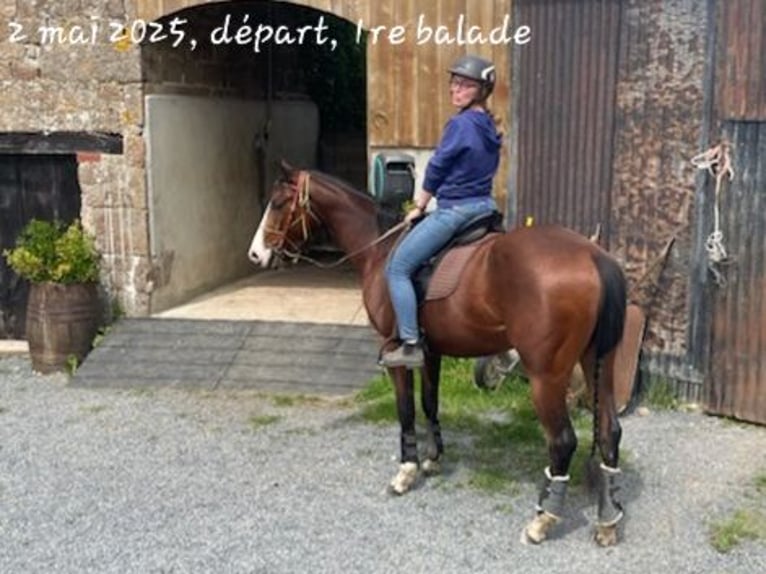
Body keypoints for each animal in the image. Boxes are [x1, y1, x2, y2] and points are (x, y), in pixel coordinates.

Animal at [248, 161, 627, 546]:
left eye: (278, 202)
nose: (255, 254)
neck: (381, 249)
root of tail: (592, 254)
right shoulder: (430, 352)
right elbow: (430, 403)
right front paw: (433, 458)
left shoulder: (395, 354)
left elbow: (405, 410)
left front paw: (407, 470)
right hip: (598, 363)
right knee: (610, 431)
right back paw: (608, 519)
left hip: (546, 377)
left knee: (563, 441)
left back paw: (543, 520)